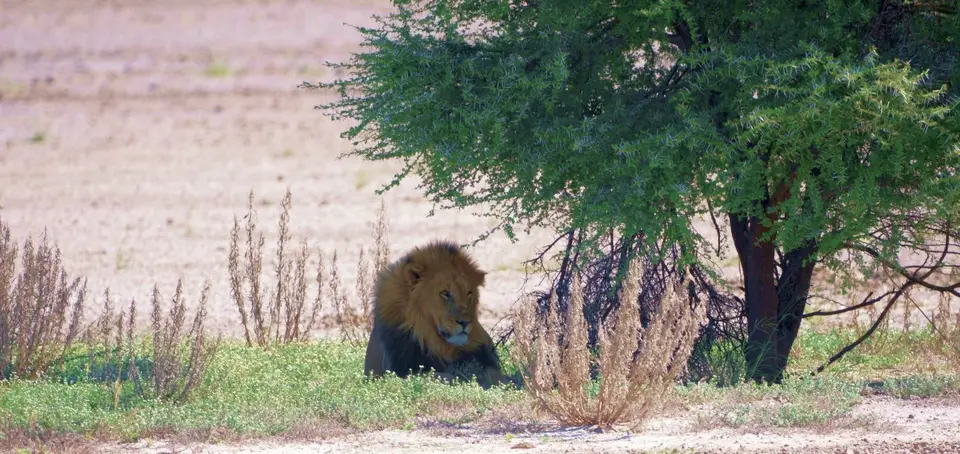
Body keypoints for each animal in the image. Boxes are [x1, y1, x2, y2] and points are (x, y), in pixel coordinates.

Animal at [363, 240, 507, 388]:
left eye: (469, 293)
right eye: (445, 293)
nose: (466, 322)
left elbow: (491, 373)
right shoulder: (397, 371)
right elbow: (434, 375)